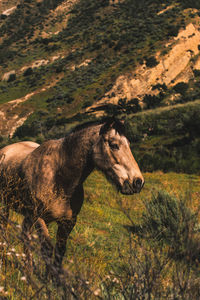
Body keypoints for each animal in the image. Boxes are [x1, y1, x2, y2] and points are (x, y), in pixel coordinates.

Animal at [0, 118, 144, 276]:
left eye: (128, 144)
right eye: (114, 145)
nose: (138, 182)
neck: (59, 177)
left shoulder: (67, 223)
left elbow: (59, 252)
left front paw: (52, 279)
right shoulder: (39, 218)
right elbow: (47, 249)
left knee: (25, 235)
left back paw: (28, 267)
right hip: (7, 206)